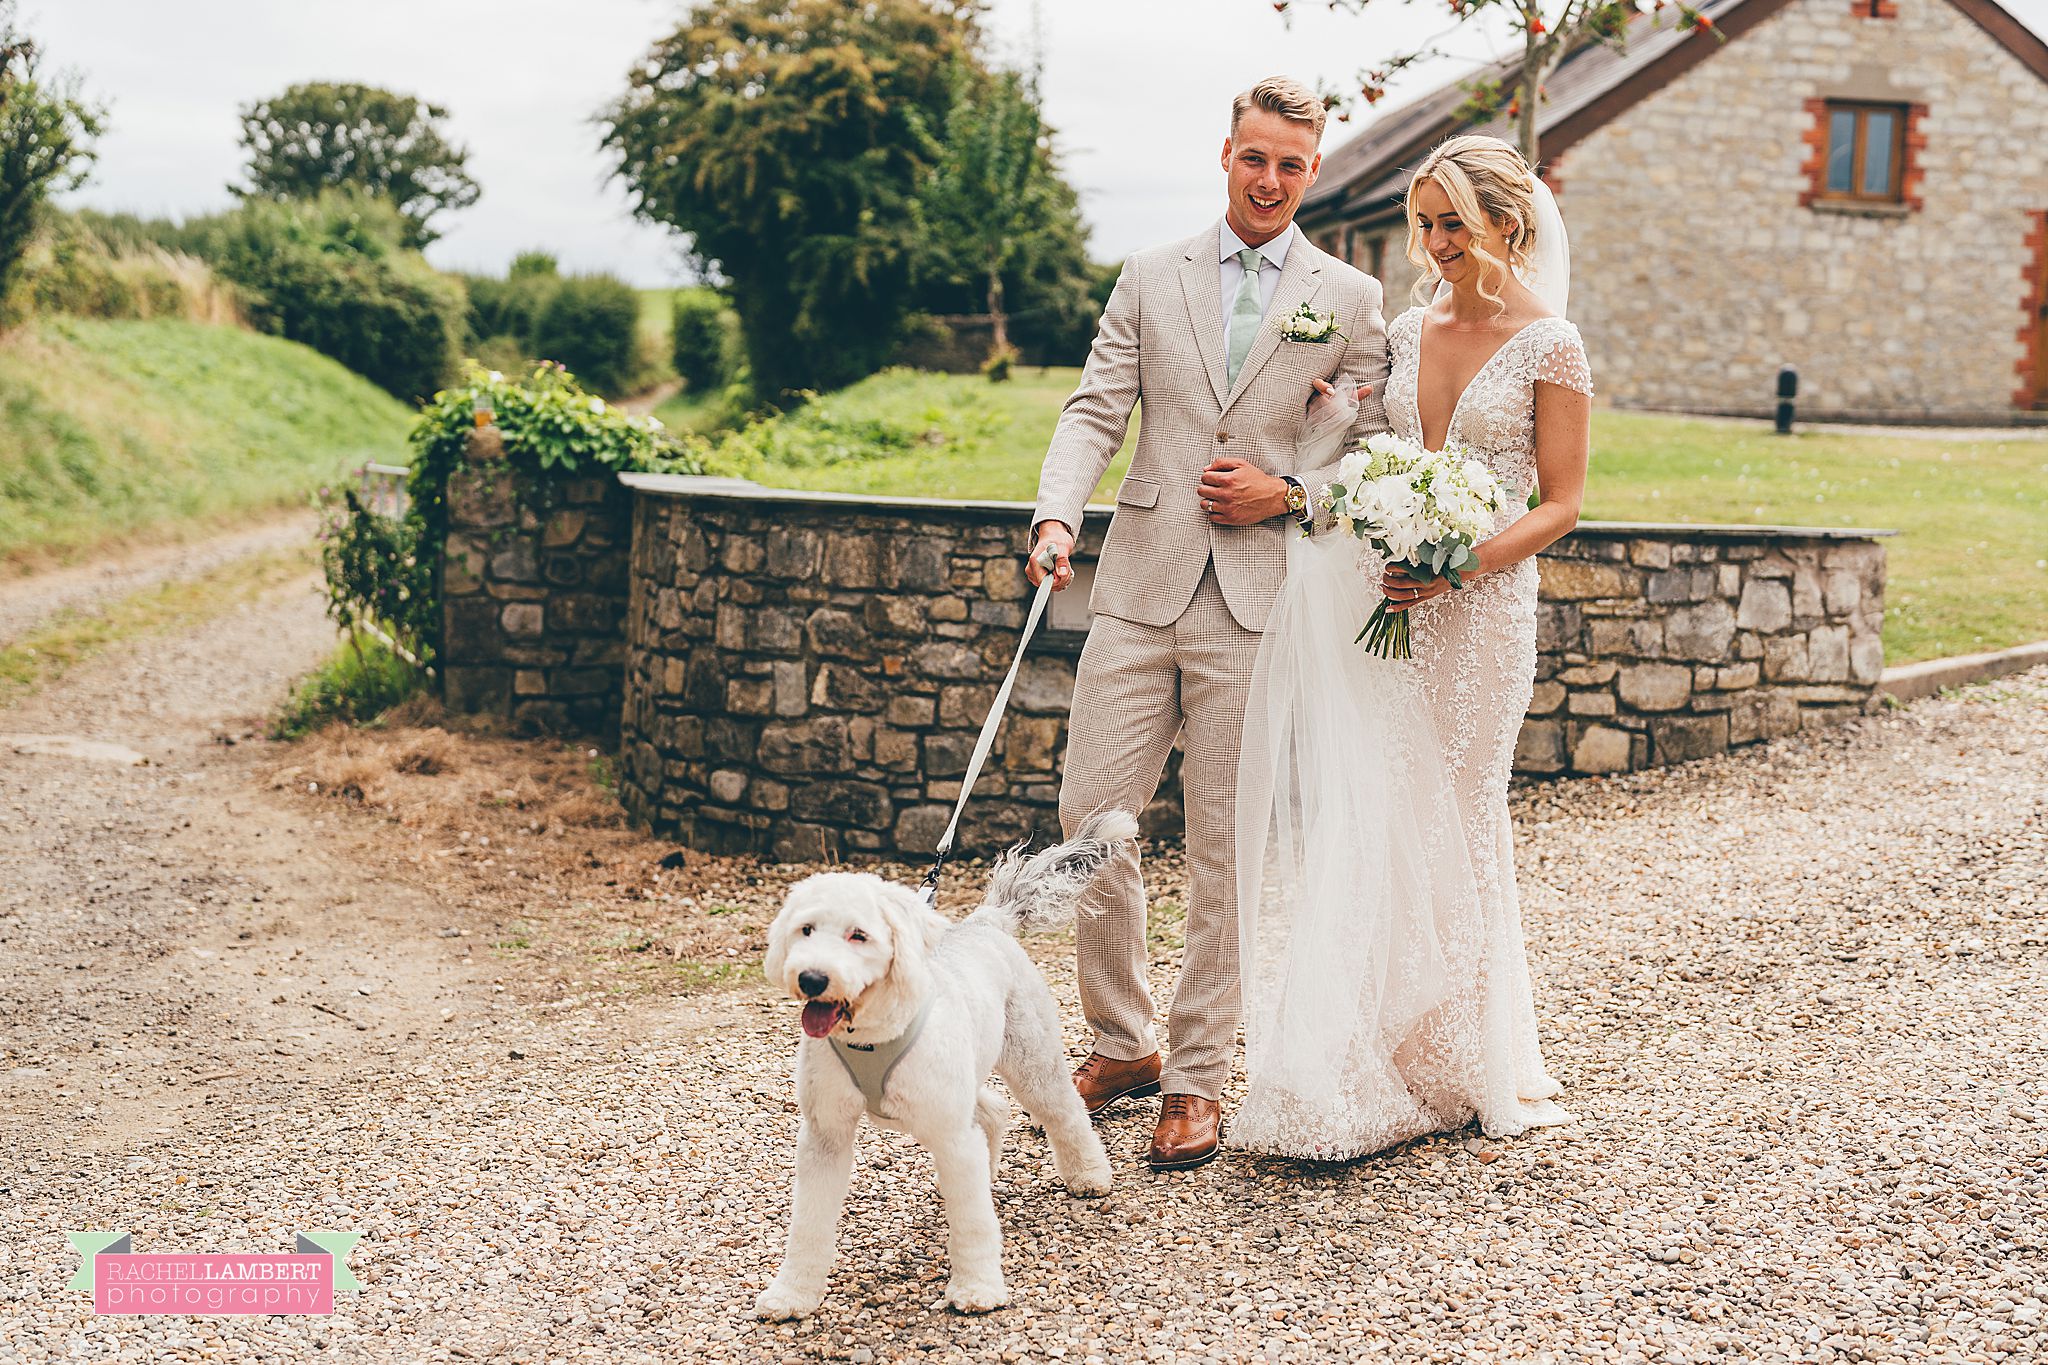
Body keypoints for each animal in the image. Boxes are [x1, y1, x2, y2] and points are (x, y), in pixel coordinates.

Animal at [753, 810, 1138, 1326]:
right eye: (807, 930)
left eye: (859, 935)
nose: (812, 978)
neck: (872, 1034)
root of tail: (986, 922)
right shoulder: (825, 1136)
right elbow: (808, 1224)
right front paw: (792, 1295)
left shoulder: (951, 1135)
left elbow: (972, 1225)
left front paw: (976, 1290)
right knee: (992, 1112)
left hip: (1031, 1062)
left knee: (1065, 1112)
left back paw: (1090, 1176)